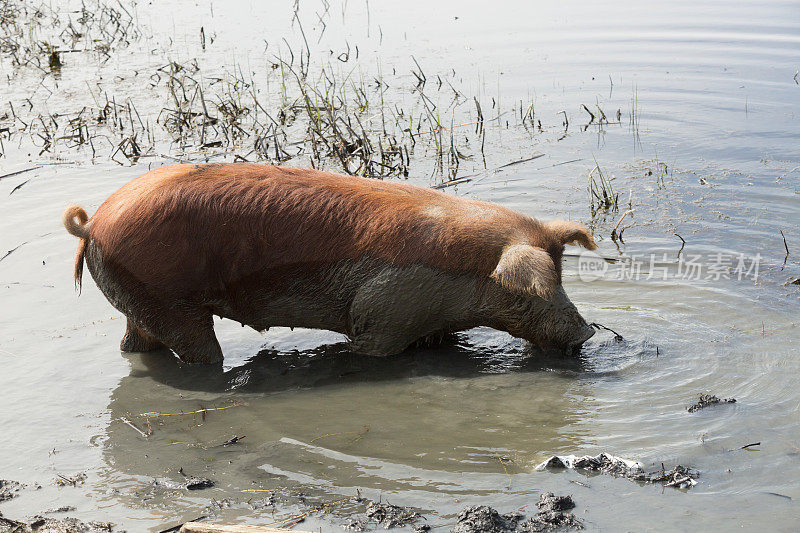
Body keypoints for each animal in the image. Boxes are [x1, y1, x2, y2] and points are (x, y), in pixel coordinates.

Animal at [62, 163, 596, 362]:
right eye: (533, 291)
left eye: (562, 274)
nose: (588, 331)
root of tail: (95, 224)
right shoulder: (381, 312)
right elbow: (370, 347)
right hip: (168, 299)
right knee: (197, 350)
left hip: (137, 299)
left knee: (134, 345)